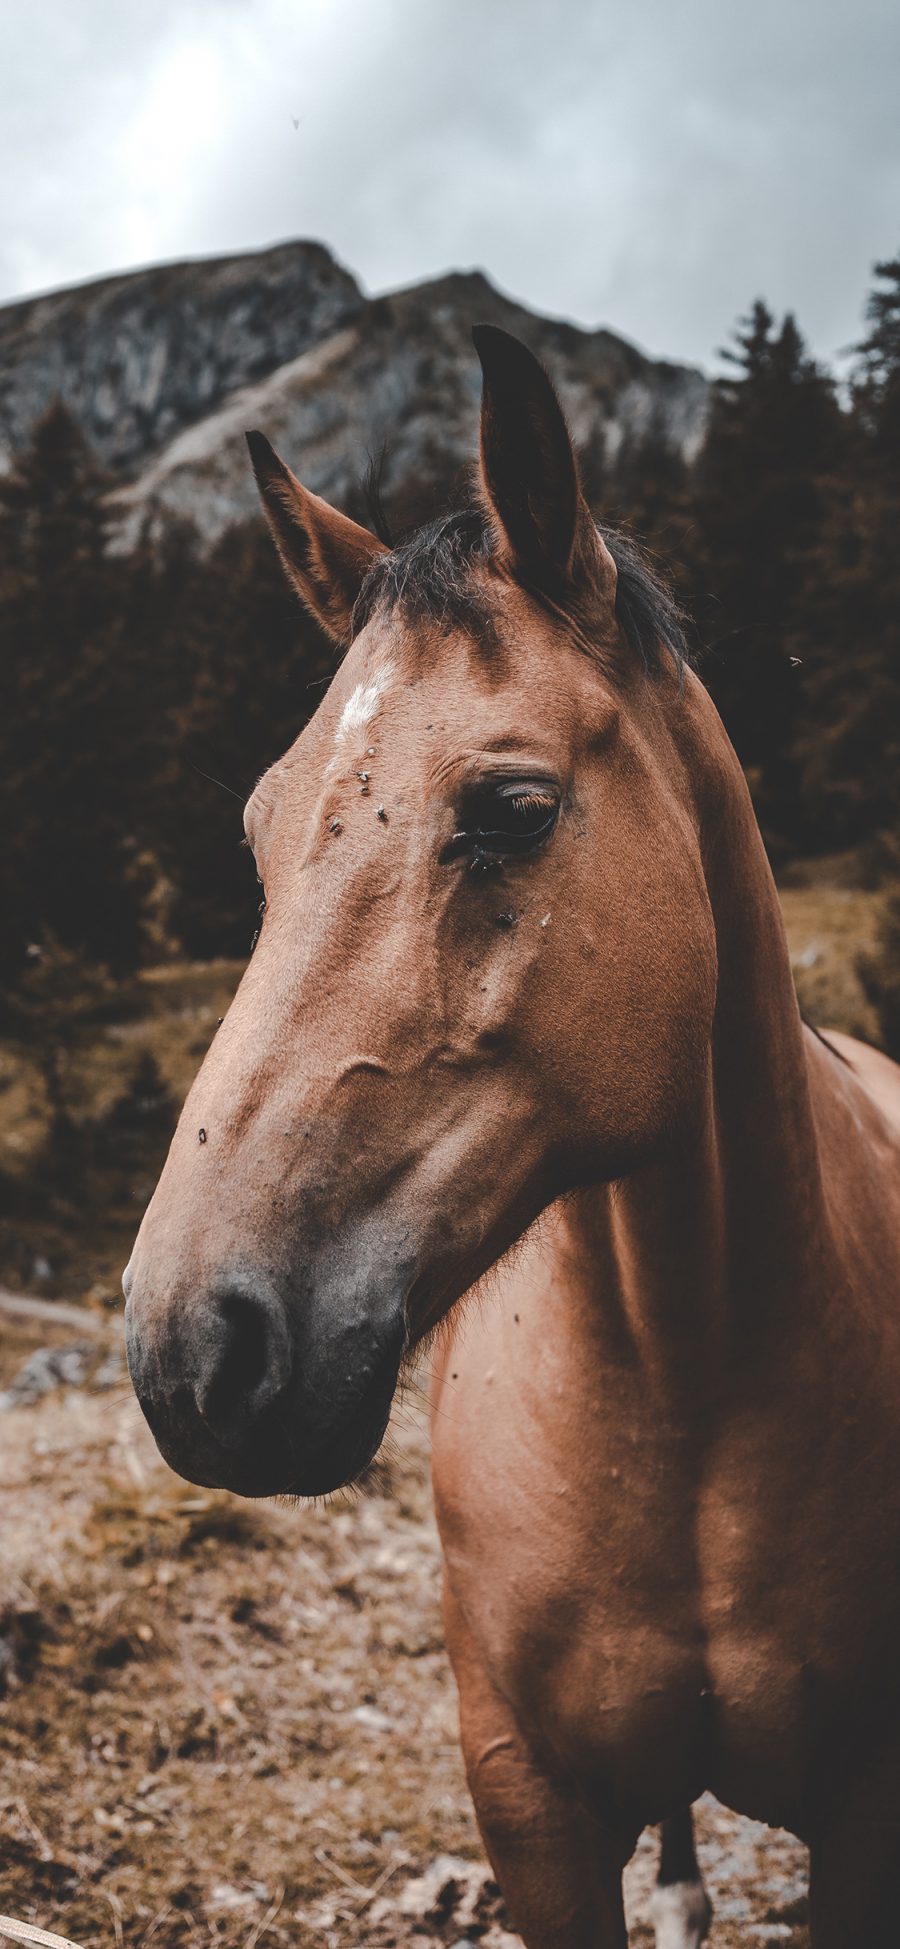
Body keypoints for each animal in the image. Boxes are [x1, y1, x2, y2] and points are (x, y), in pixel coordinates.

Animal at [123, 327, 900, 1941]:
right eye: (258, 834)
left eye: (514, 807)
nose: (190, 1351)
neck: (688, 1385)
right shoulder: (530, 1803)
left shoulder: (870, 1810)